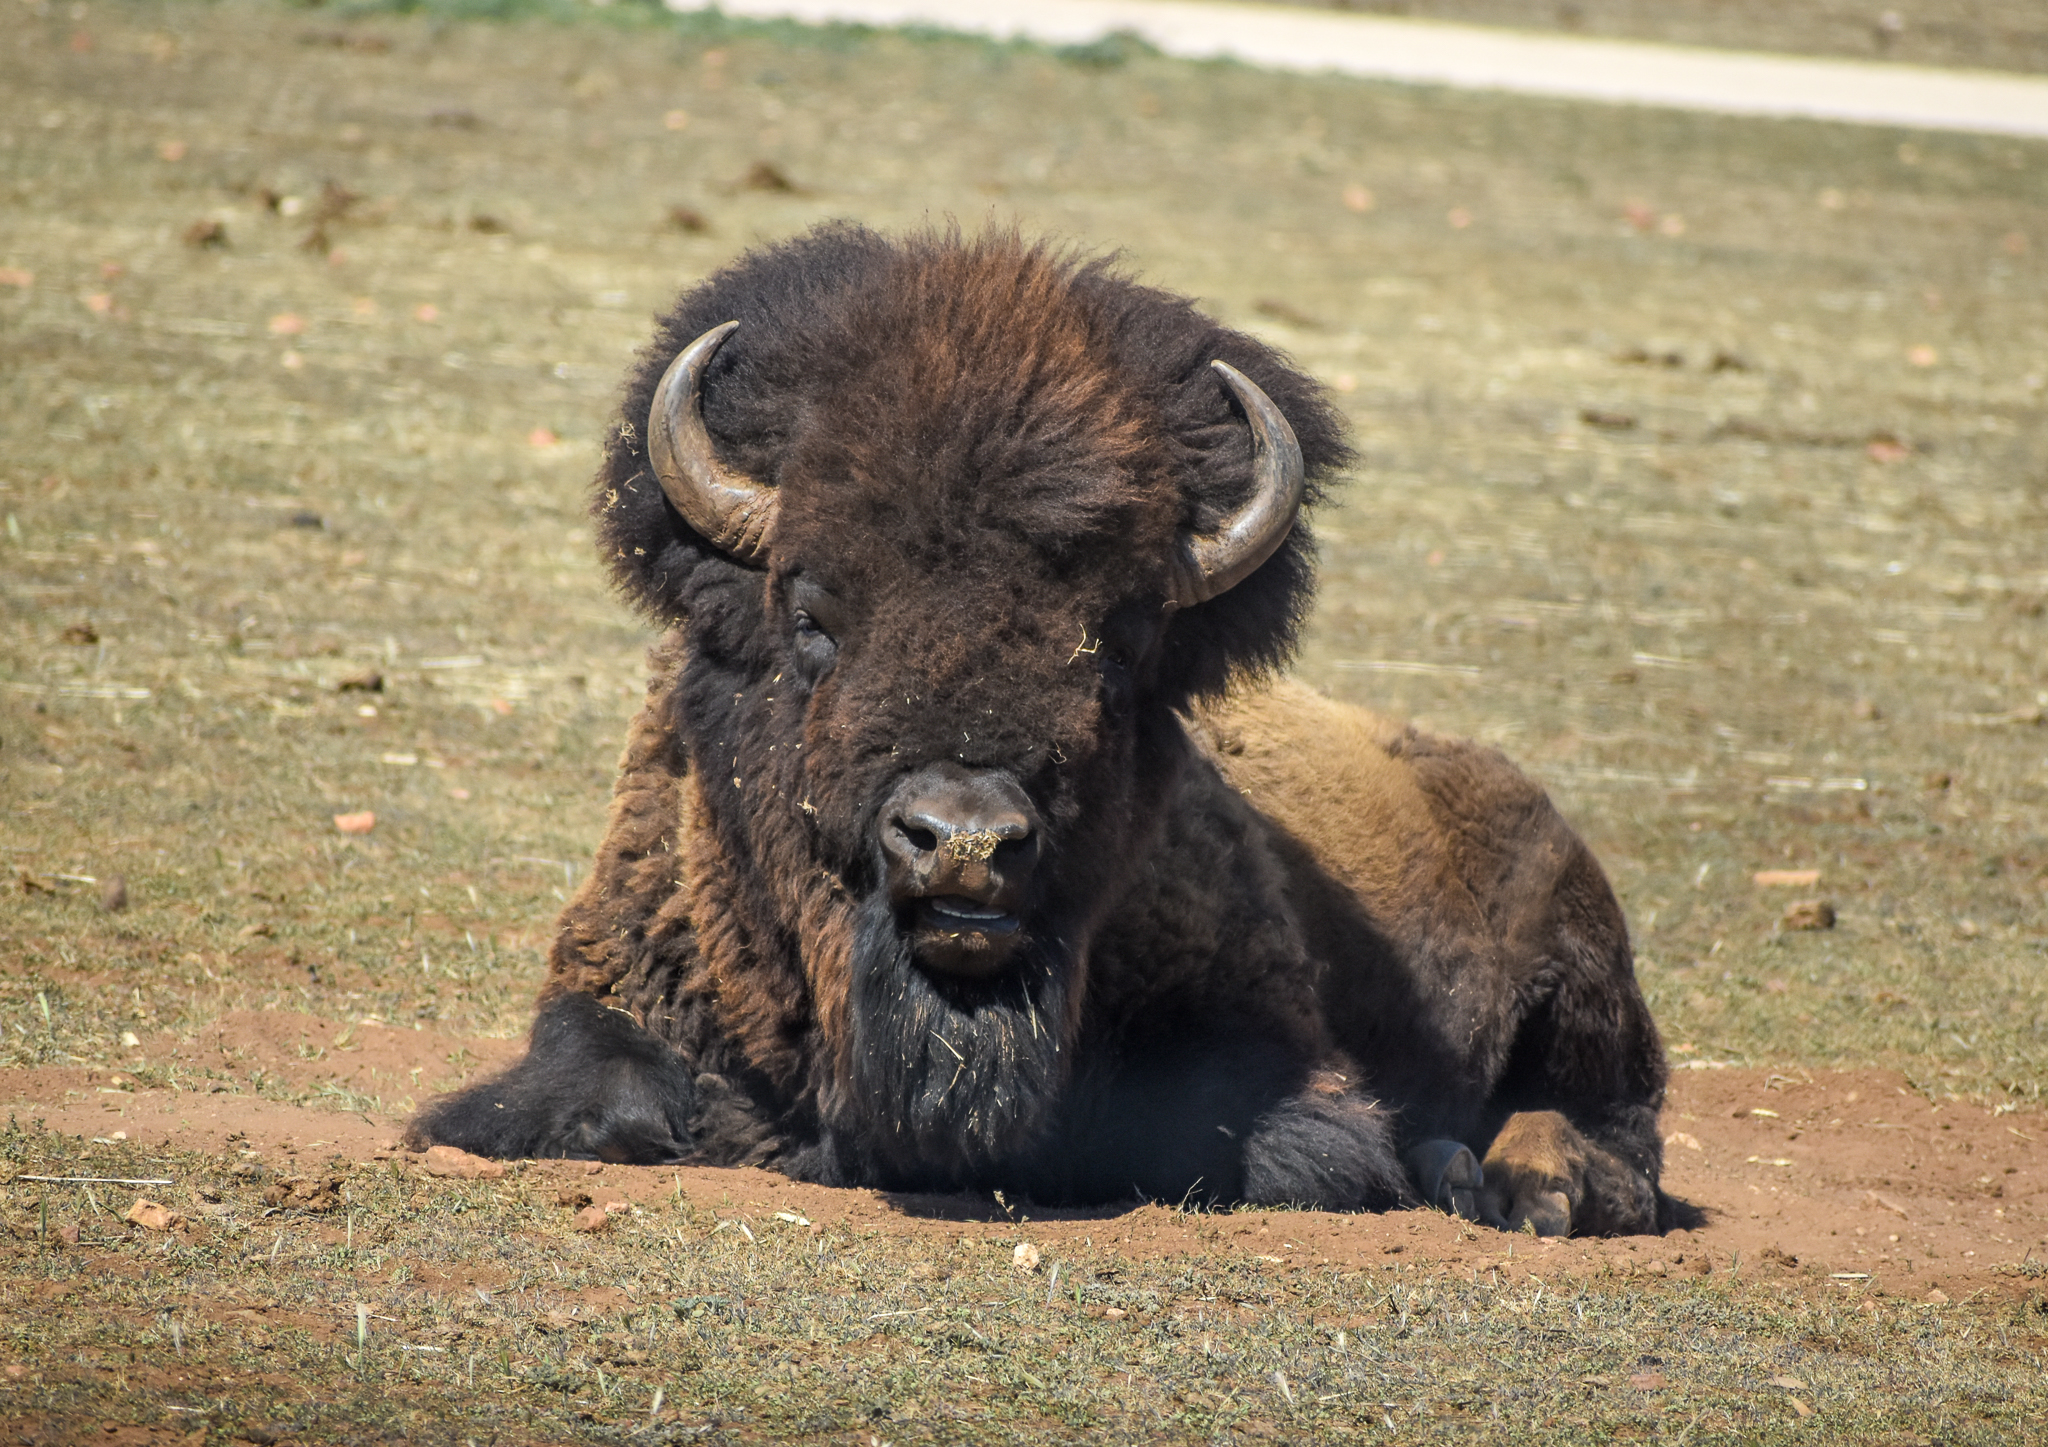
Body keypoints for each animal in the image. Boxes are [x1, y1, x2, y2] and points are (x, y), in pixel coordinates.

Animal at [408, 224, 1671, 1236]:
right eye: (812, 613)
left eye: (1117, 641)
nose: (964, 842)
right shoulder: (604, 992)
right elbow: (605, 1100)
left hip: (1582, 978)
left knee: (1613, 1123)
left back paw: (1527, 1187)